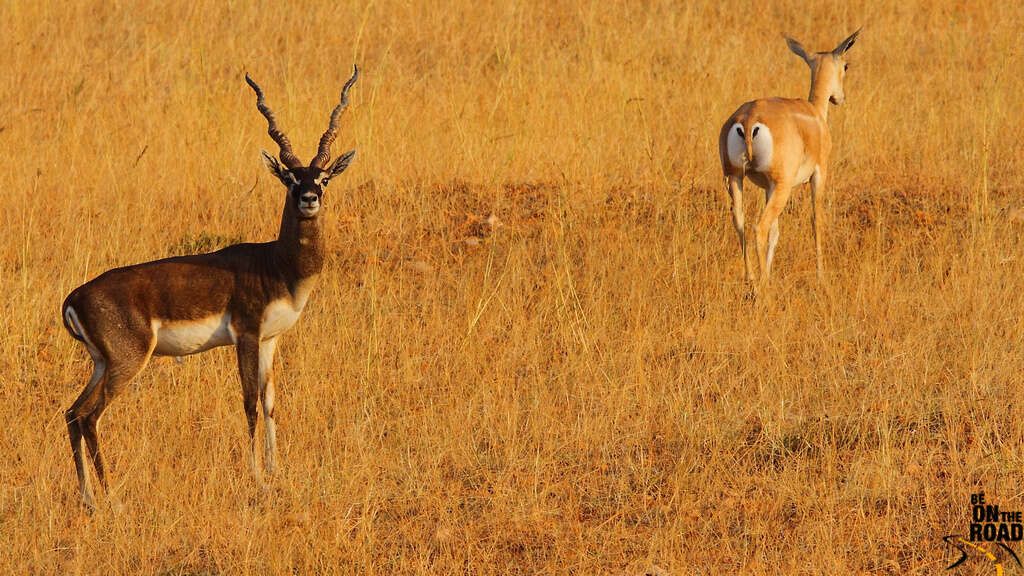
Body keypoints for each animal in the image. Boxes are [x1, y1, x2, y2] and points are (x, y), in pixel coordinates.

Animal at [61, 66, 360, 510]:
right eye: (290, 177)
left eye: (323, 177)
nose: (309, 198)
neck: (277, 264)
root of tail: (75, 297)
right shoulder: (247, 335)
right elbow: (249, 403)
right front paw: (258, 479)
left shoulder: (270, 340)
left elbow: (271, 403)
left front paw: (277, 472)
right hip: (127, 362)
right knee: (90, 416)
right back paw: (112, 499)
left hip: (101, 363)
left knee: (71, 413)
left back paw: (89, 500)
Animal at [724, 29, 860, 284]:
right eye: (846, 66)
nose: (840, 98)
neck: (815, 115)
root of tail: (749, 118)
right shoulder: (818, 175)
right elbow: (816, 221)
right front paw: (820, 275)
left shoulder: (767, 186)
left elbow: (775, 233)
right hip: (782, 186)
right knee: (759, 227)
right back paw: (762, 286)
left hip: (735, 178)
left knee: (740, 221)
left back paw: (752, 279)